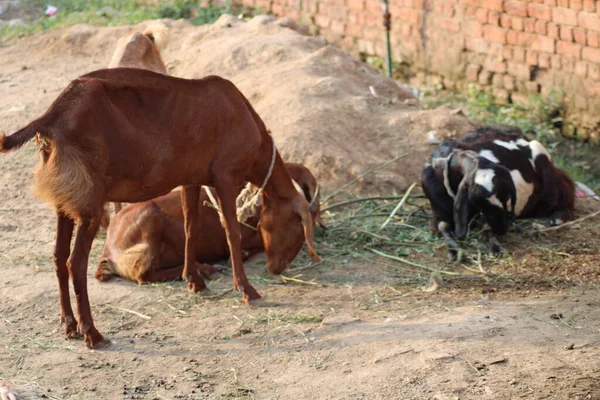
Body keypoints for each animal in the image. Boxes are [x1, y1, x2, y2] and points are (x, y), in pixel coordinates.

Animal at [0, 67, 322, 348]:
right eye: (298, 229)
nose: (276, 268)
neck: (242, 115)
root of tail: (51, 116)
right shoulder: (225, 176)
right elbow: (231, 231)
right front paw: (246, 290)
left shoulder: (192, 178)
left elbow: (191, 226)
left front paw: (194, 280)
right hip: (91, 202)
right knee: (75, 263)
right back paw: (92, 333)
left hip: (65, 200)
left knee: (58, 256)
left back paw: (69, 326)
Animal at [422, 126, 576, 260]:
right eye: (476, 199)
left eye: (507, 197)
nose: (503, 228)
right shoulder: (439, 211)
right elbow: (442, 225)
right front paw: (454, 250)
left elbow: (485, 228)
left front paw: (495, 247)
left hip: (546, 167)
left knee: (564, 189)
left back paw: (559, 216)